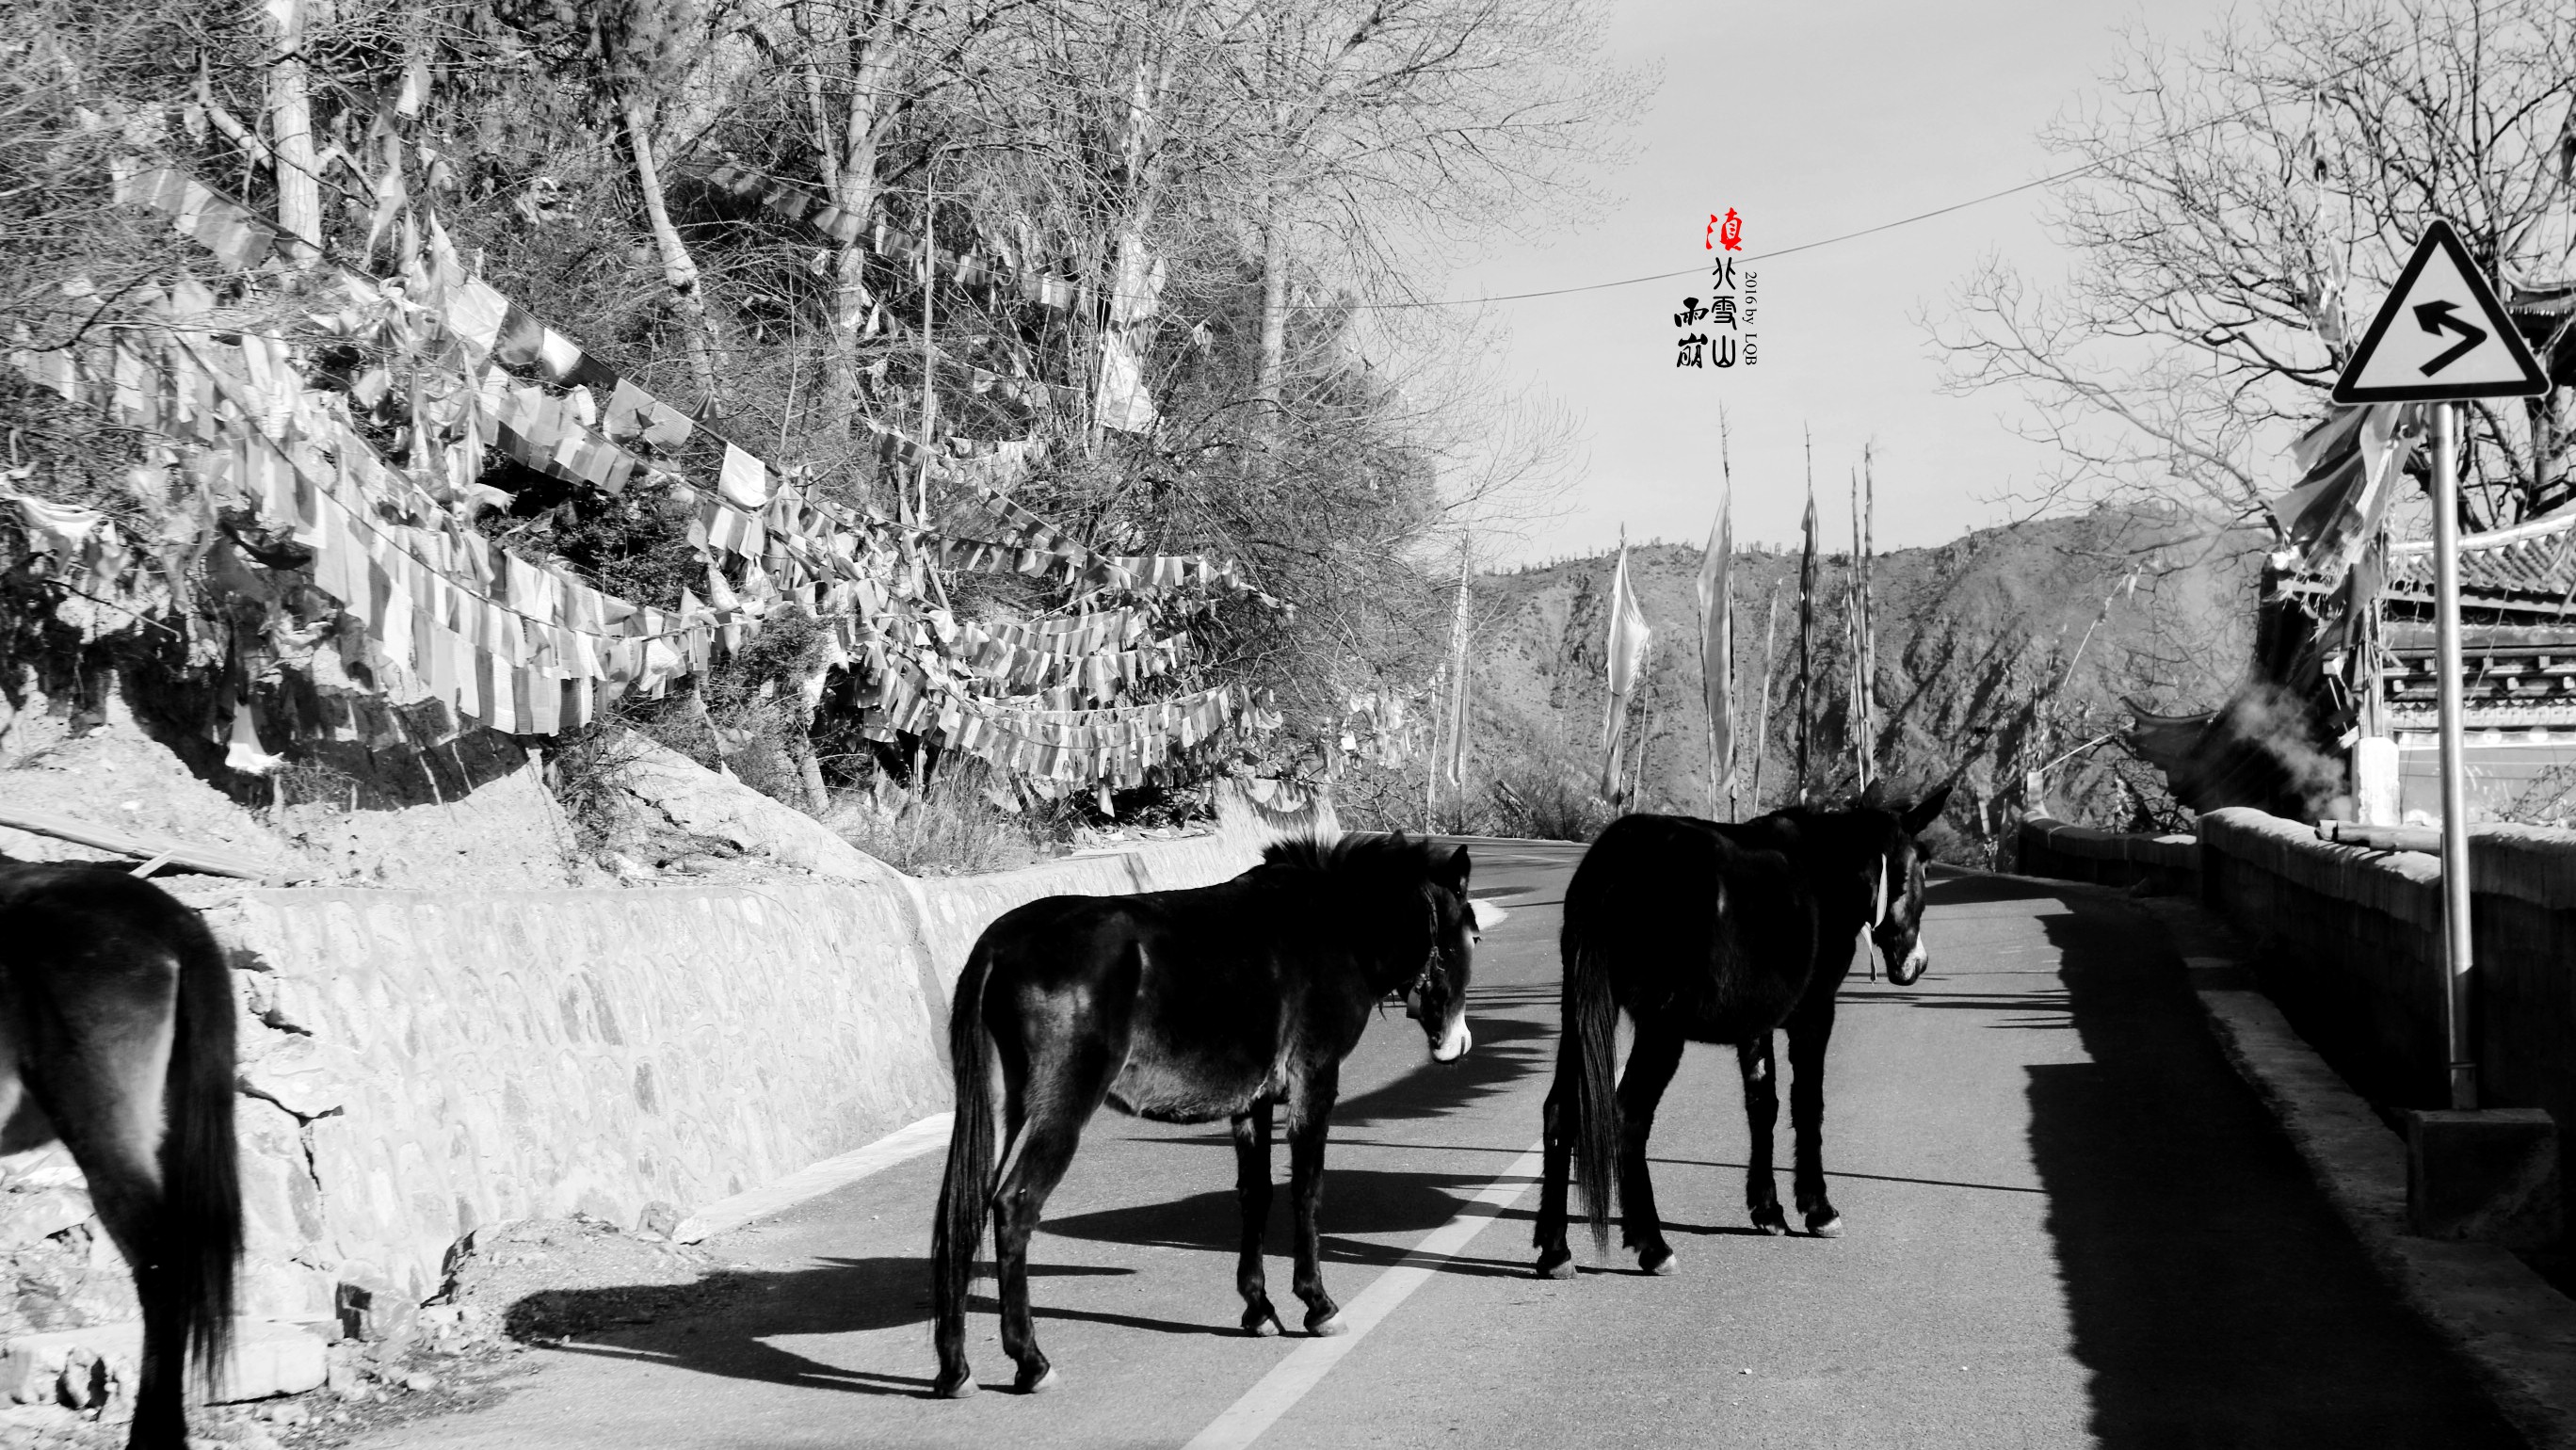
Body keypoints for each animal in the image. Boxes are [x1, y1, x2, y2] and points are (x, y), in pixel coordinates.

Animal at [937, 834, 1504, 1401]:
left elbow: (1256, 1194)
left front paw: (1259, 1308)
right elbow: (1307, 1189)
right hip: (1062, 1108)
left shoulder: (1253, 1104)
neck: (1337, 926)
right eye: (1472, 936)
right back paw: (1030, 1361)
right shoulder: (1314, 1083)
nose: (1459, 1043)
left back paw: (954, 1368)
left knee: (964, 1210)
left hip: (999, 1111)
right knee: (1014, 1207)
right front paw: (1317, 1305)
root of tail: (1000, 945)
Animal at [1535, 793, 1937, 1282]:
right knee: (1627, 1117)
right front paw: (1818, 1208)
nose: (1916, 962)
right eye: (1920, 868)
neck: (1825, 871)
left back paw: (1555, 1250)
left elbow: (1763, 1105)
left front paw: (1767, 1209)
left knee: (1560, 1112)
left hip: (1581, 1011)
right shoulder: (1815, 1013)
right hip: (1661, 1030)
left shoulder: (1756, 1025)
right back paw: (1652, 1244)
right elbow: (1808, 1104)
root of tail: (1617, 859)